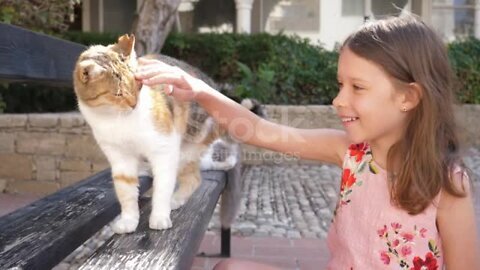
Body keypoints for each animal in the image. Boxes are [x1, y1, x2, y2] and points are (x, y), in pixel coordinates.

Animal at [73, 34, 225, 234]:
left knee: (193, 179)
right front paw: (128, 221)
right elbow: (126, 191)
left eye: (138, 85)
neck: (117, 119)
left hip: (186, 147)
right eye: (118, 94)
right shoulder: (120, 158)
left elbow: (162, 187)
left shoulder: (164, 149)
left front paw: (159, 217)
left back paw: (175, 200)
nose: (134, 104)